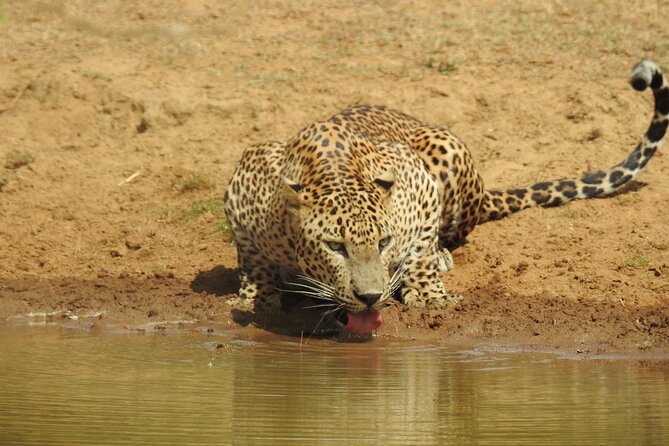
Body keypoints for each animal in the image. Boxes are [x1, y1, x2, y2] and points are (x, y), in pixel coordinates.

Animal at [223, 60, 668, 334]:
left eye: (382, 242)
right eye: (335, 246)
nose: (370, 297)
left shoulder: (416, 181)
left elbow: (419, 249)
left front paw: (428, 295)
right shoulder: (245, 183)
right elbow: (253, 258)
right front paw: (257, 295)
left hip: (444, 144)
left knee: (452, 235)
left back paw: (440, 258)